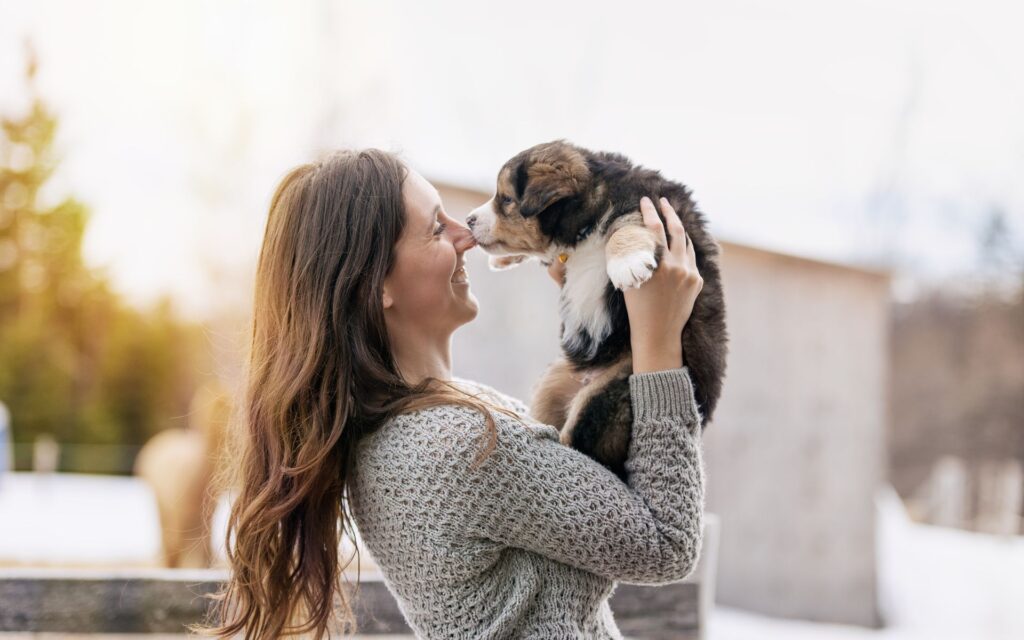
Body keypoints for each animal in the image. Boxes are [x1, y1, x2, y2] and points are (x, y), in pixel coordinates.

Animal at [468, 141, 724, 479]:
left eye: (506, 199)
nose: (468, 220)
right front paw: (502, 259)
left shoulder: (652, 209)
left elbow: (625, 225)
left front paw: (627, 264)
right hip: (553, 382)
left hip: (611, 391)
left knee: (584, 446)